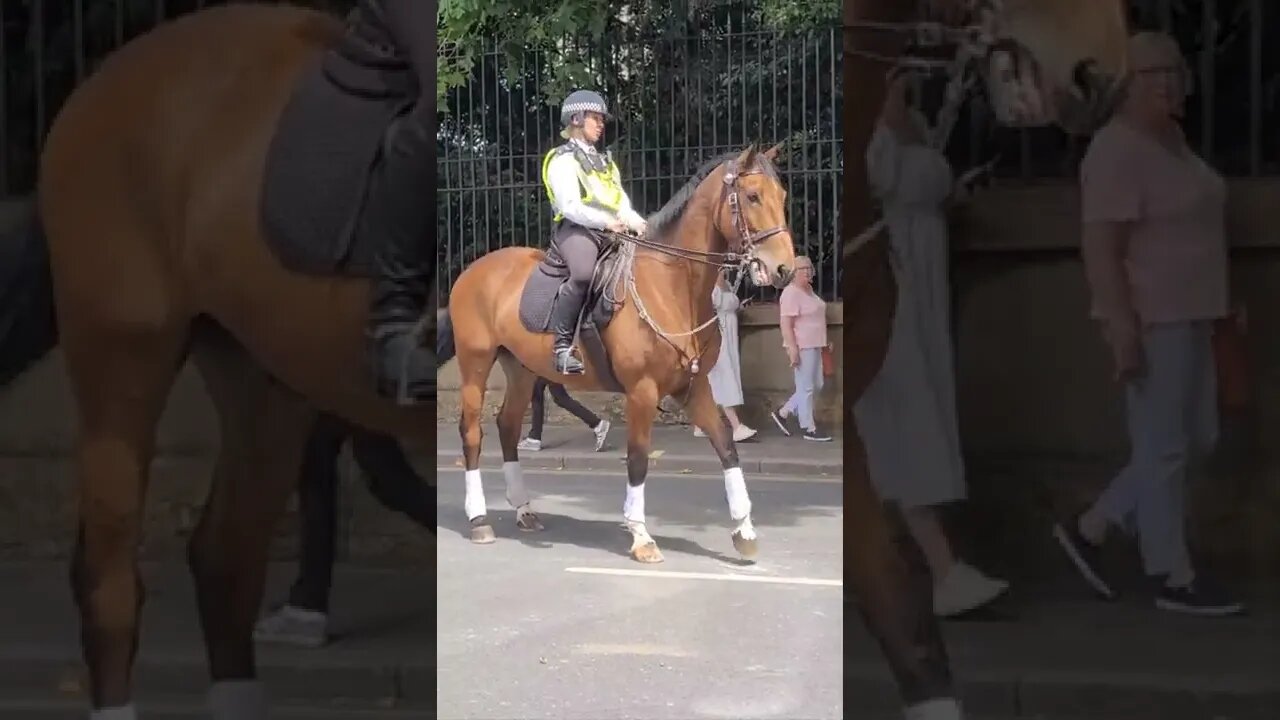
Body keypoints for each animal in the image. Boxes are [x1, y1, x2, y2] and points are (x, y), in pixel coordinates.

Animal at [442, 144, 788, 561]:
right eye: (752, 196)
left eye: (782, 196)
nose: (784, 268)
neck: (672, 285)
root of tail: (471, 271)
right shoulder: (642, 391)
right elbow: (638, 460)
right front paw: (641, 536)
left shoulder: (693, 386)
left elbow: (726, 447)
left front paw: (744, 530)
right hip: (475, 362)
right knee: (472, 433)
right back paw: (479, 519)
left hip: (522, 369)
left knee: (507, 427)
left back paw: (523, 508)